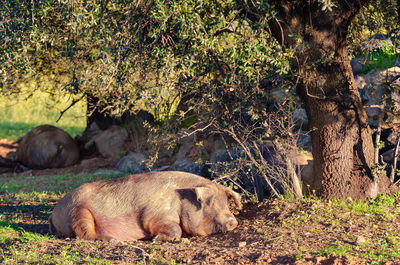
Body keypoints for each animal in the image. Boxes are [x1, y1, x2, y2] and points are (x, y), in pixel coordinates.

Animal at [47, 170, 241, 240]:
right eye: (210, 205)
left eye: (226, 204)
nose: (233, 221)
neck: (181, 201)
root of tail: (54, 212)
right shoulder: (154, 215)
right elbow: (173, 228)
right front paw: (156, 239)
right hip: (78, 211)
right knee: (83, 234)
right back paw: (112, 240)